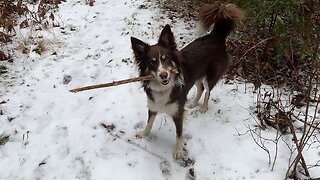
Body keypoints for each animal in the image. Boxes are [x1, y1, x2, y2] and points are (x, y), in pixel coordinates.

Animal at [130, 2, 242, 158]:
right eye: (152, 63)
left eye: (166, 59)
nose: (164, 75)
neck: (164, 88)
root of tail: (216, 36)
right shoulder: (153, 106)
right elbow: (149, 123)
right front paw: (144, 134)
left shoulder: (178, 113)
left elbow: (179, 133)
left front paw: (178, 151)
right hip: (196, 76)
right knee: (200, 88)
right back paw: (193, 103)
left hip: (210, 76)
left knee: (207, 90)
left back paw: (203, 107)